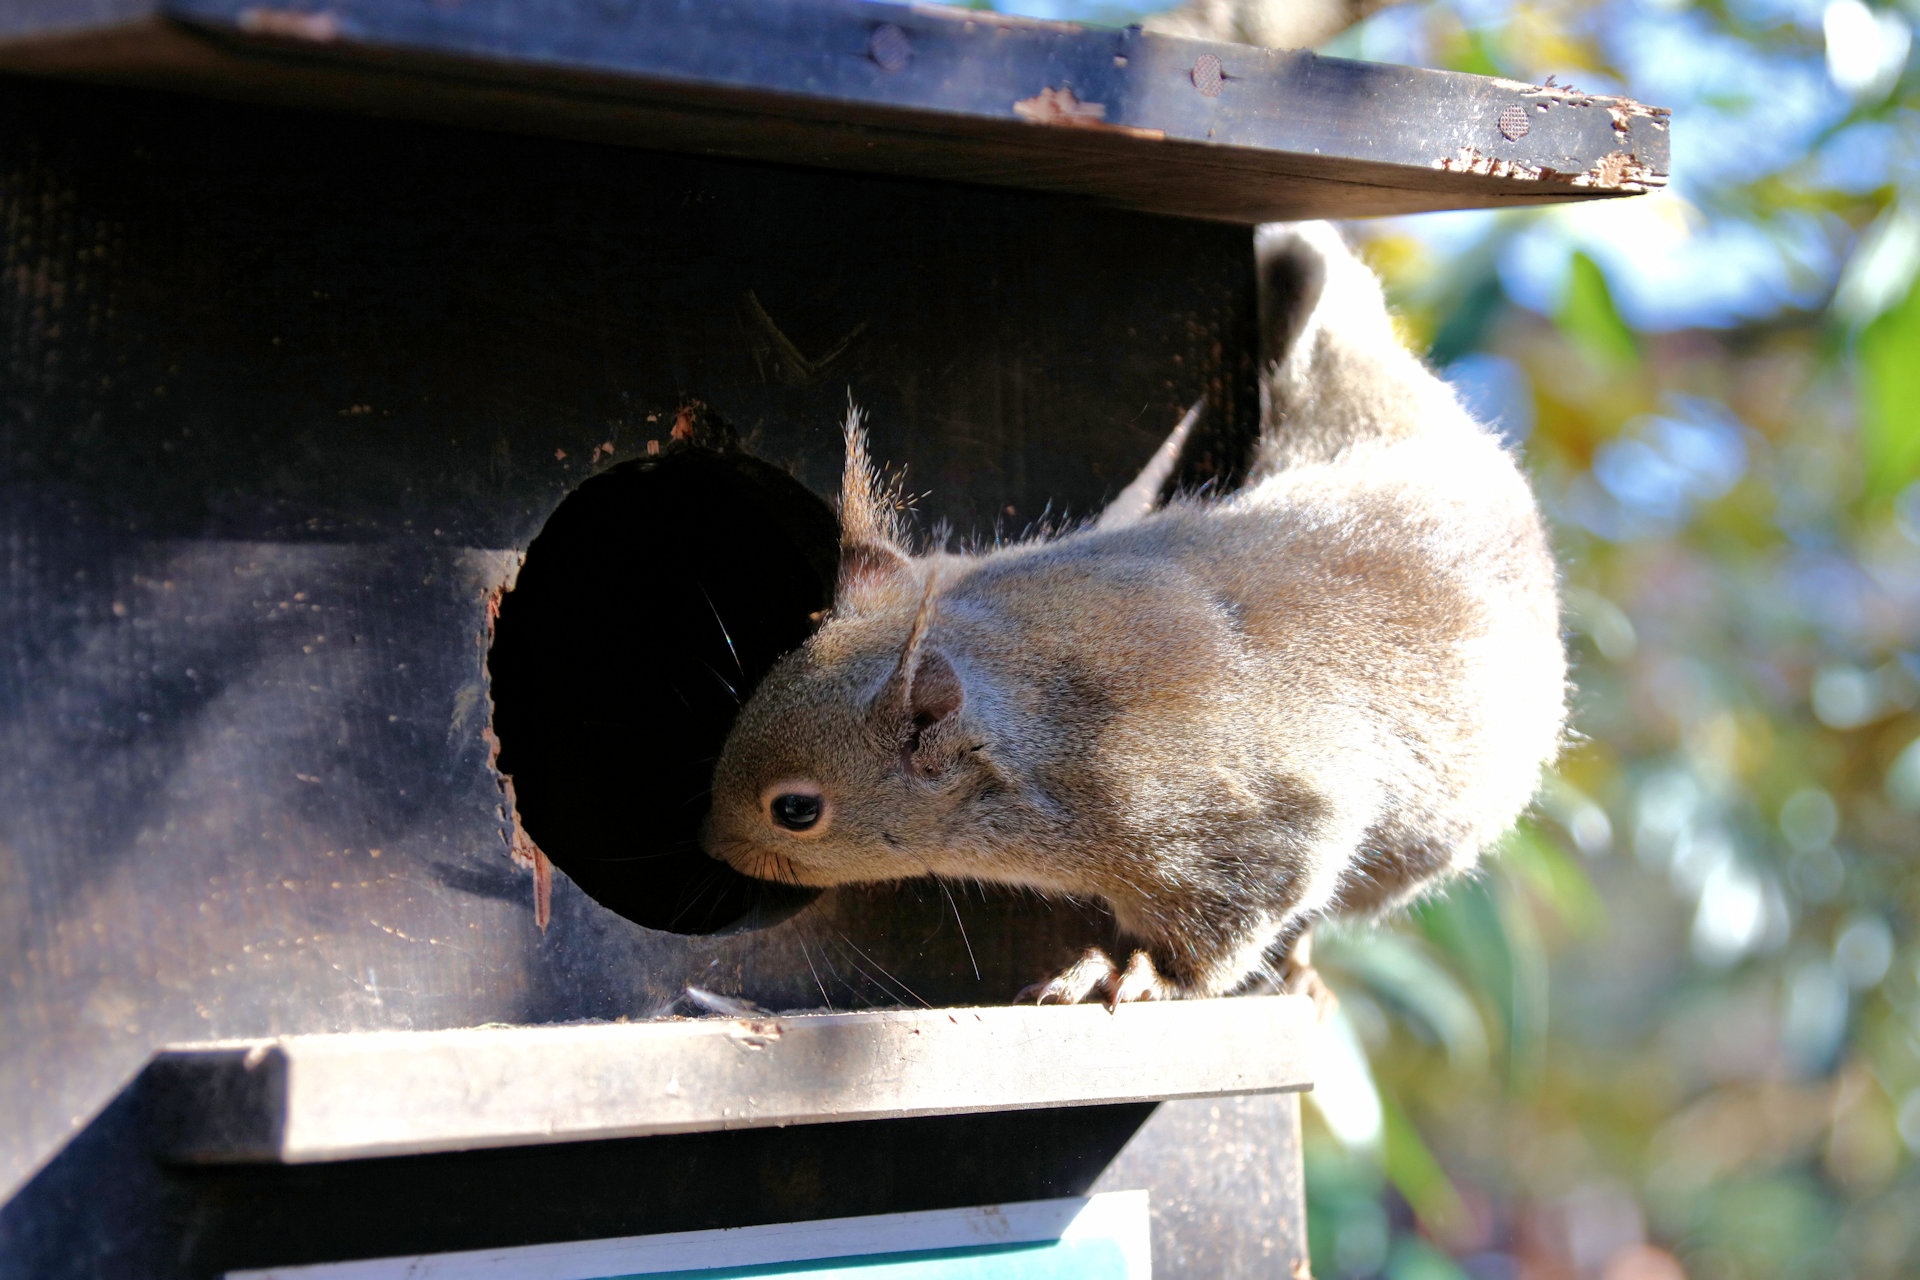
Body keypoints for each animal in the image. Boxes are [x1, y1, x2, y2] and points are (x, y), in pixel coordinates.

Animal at [698, 220, 1566, 1005]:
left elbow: (1222, 934)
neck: (1044, 719)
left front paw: (1136, 977)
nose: (711, 846)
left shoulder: (1240, 825)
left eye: (796, 811)